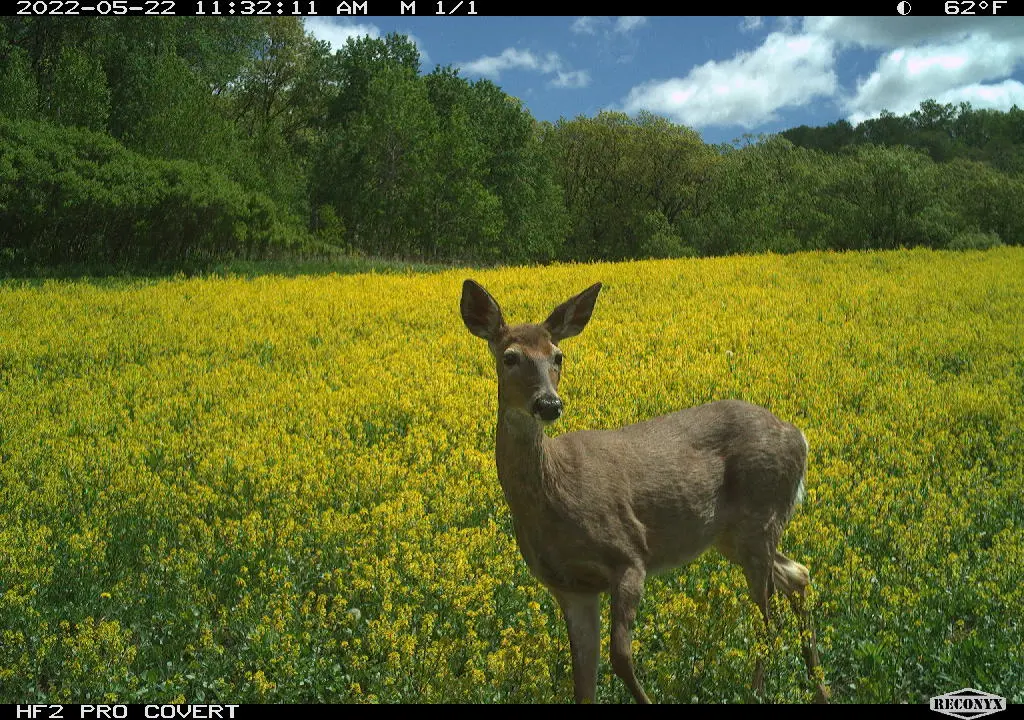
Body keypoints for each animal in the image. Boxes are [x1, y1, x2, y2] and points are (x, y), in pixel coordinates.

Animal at [460, 280, 827, 704]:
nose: (549, 404)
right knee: (798, 575)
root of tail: (798, 435)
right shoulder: (569, 587)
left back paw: (756, 693)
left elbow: (620, 657)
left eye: (558, 356)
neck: (555, 495)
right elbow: (583, 680)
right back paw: (821, 689)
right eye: (509, 357)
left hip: (760, 518)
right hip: (732, 535)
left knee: (768, 619)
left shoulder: (630, 555)